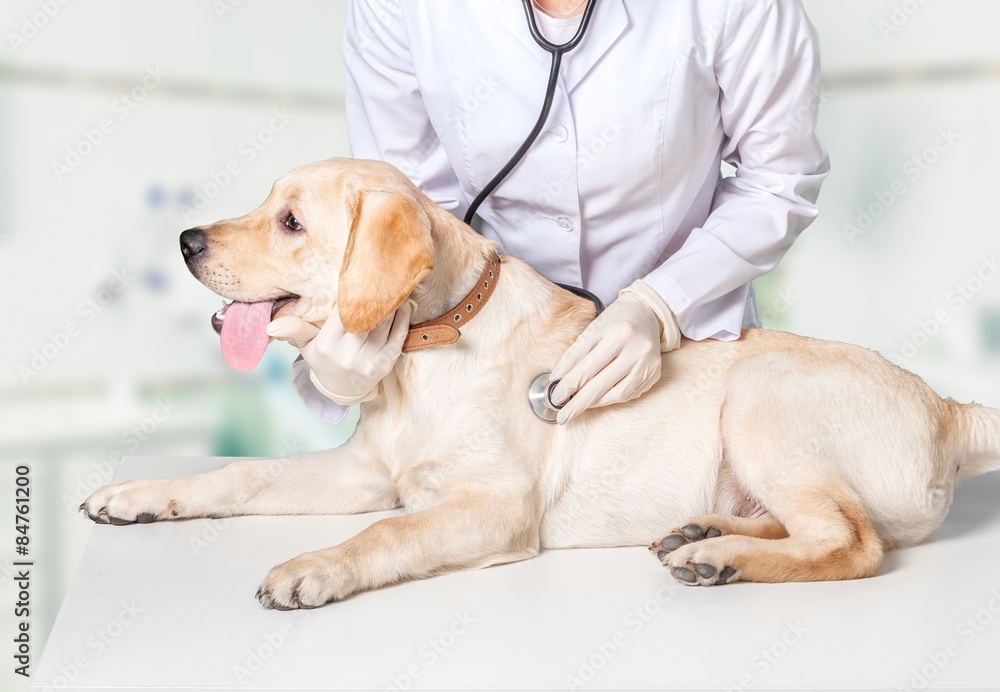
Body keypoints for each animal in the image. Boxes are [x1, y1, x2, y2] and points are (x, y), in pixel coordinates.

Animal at [80, 158, 1000, 612]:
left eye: (292, 222)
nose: (186, 240)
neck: (424, 352)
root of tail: (948, 408)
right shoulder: (367, 472)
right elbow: (241, 474)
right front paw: (137, 495)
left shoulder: (493, 505)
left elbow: (386, 534)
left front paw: (317, 567)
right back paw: (703, 532)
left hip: (762, 392)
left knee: (853, 542)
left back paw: (720, 560)